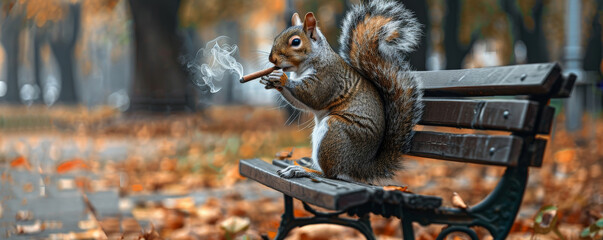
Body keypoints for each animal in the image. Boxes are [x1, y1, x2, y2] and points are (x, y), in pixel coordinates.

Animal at [260, 0, 424, 182]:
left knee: (330, 174)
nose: (272, 59)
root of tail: (359, 167)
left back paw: (302, 170)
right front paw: (271, 80)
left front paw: (282, 79)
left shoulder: (329, 78)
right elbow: (302, 103)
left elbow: (313, 95)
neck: (305, 66)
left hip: (334, 132)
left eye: (295, 42)